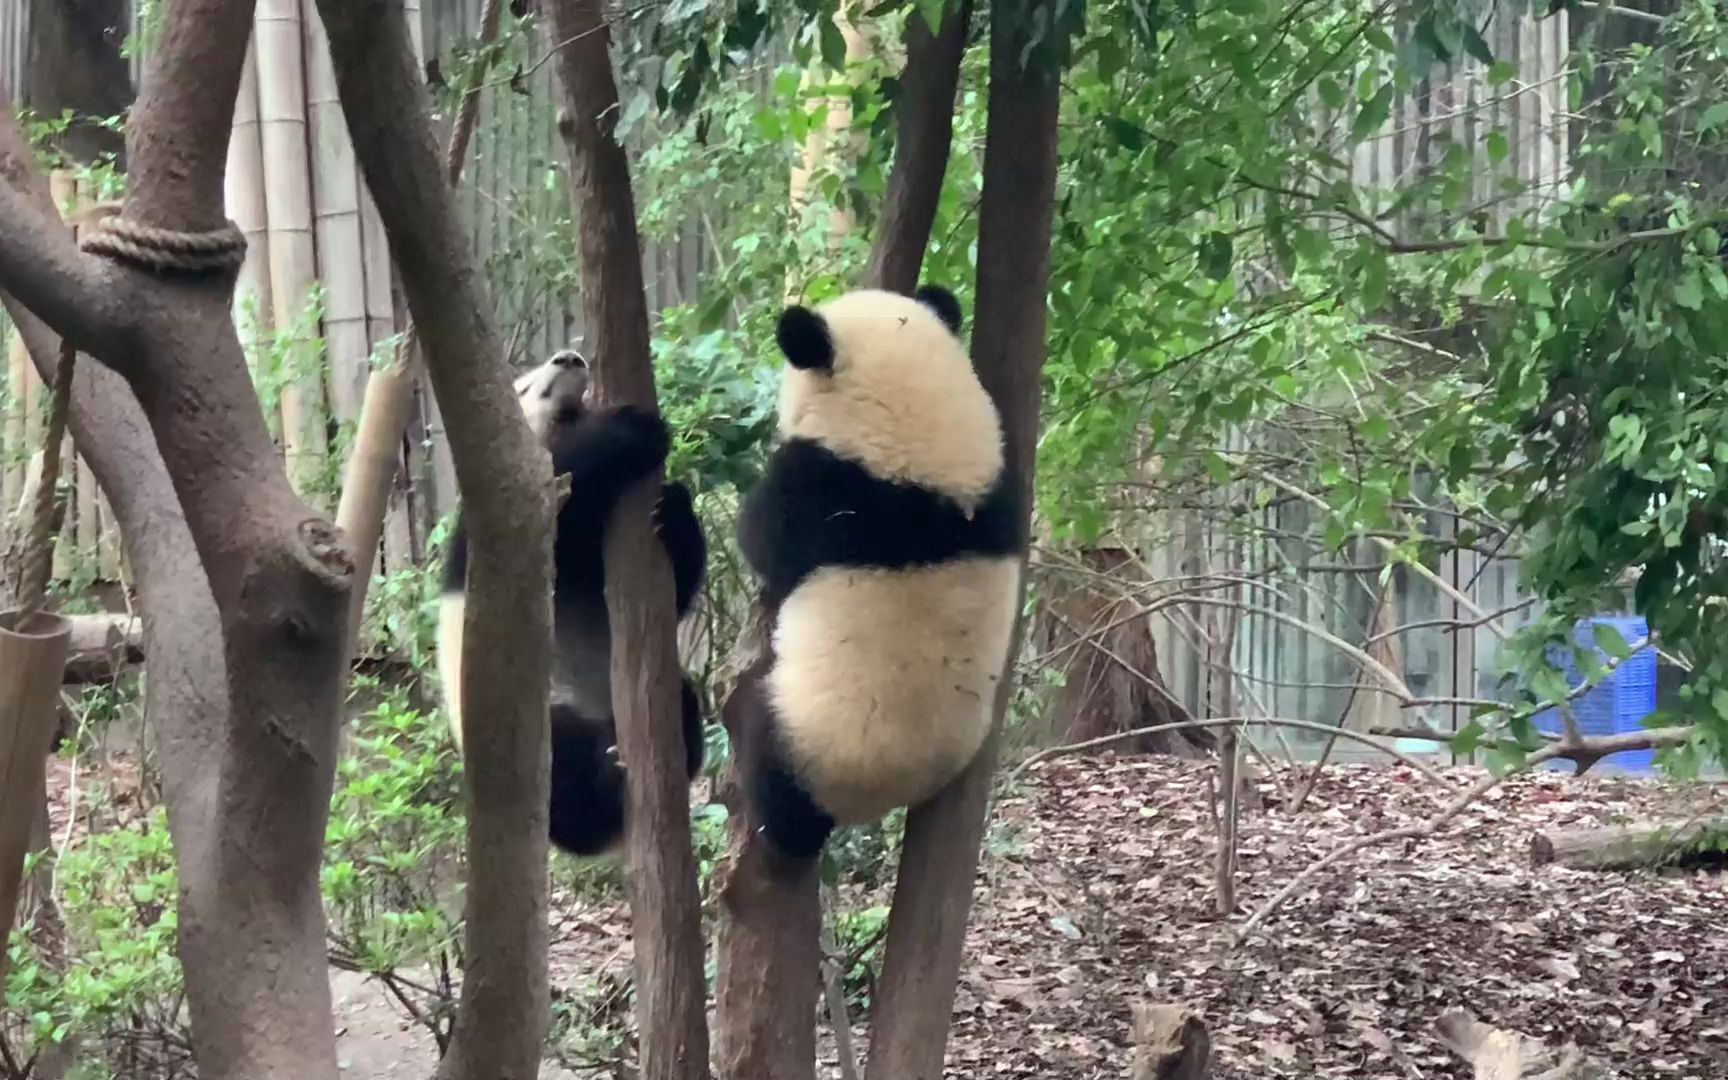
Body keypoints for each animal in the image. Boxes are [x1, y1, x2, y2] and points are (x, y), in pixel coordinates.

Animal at [438, 349, 708, 853]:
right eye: (522, 388)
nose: (568, 357)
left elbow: (671, 591)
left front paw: (675, 514)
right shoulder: (503, 521)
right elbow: (567, 482)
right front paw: (634, 430)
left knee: (684, 699)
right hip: (532, 712)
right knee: (562, 768)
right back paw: (604, 788)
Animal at [732, 285, 1022, 860]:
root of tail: (897, 793)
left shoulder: (832, 493)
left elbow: (764, 538)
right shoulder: (1002, 489)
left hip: (814, 738)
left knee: (768, 753)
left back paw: (782, 828)